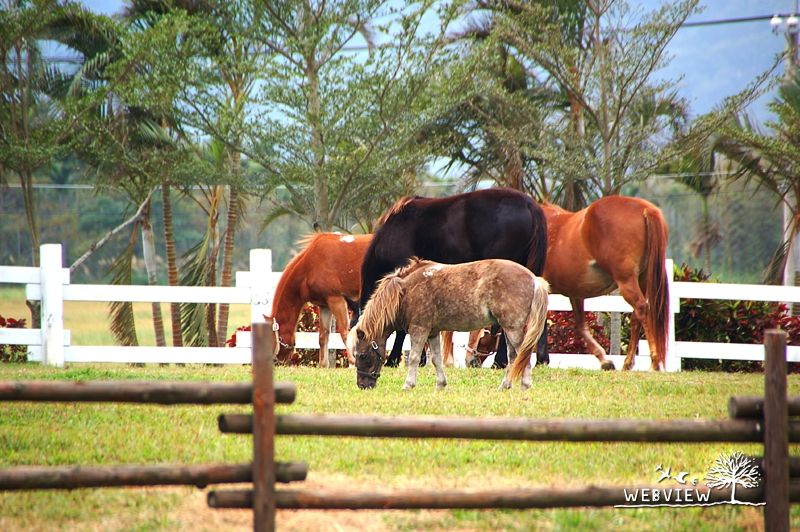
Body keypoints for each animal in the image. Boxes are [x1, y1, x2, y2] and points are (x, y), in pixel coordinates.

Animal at [269, 233, 372, 367]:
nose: (277, 362)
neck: (310, 265)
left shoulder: (336, 300)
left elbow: (344, 332)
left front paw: (353, 361)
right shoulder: (324, 306)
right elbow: (323, 336)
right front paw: (323, 364)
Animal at [347, 258, 550, 390]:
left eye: (362, 355)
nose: (363, 385)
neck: (405, 290)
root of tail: (534, 279)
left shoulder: (419, 329)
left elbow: (413, 358)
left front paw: (408, 385)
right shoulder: (432, 332)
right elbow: (437, 359)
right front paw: (441, 385)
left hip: (513, 329)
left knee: (522, 354)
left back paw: (525, 385)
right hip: (509, 329)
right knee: (513, 357)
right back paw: (505, 386)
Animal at [540, 196, 670, 371]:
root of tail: (646, 209)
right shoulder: (575, 293)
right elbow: (580, 325)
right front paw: (604, 360)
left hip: (626, 281)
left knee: (641, 308)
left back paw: (654, 362)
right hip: (642, 280)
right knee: (637, 316)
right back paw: (628, 363)